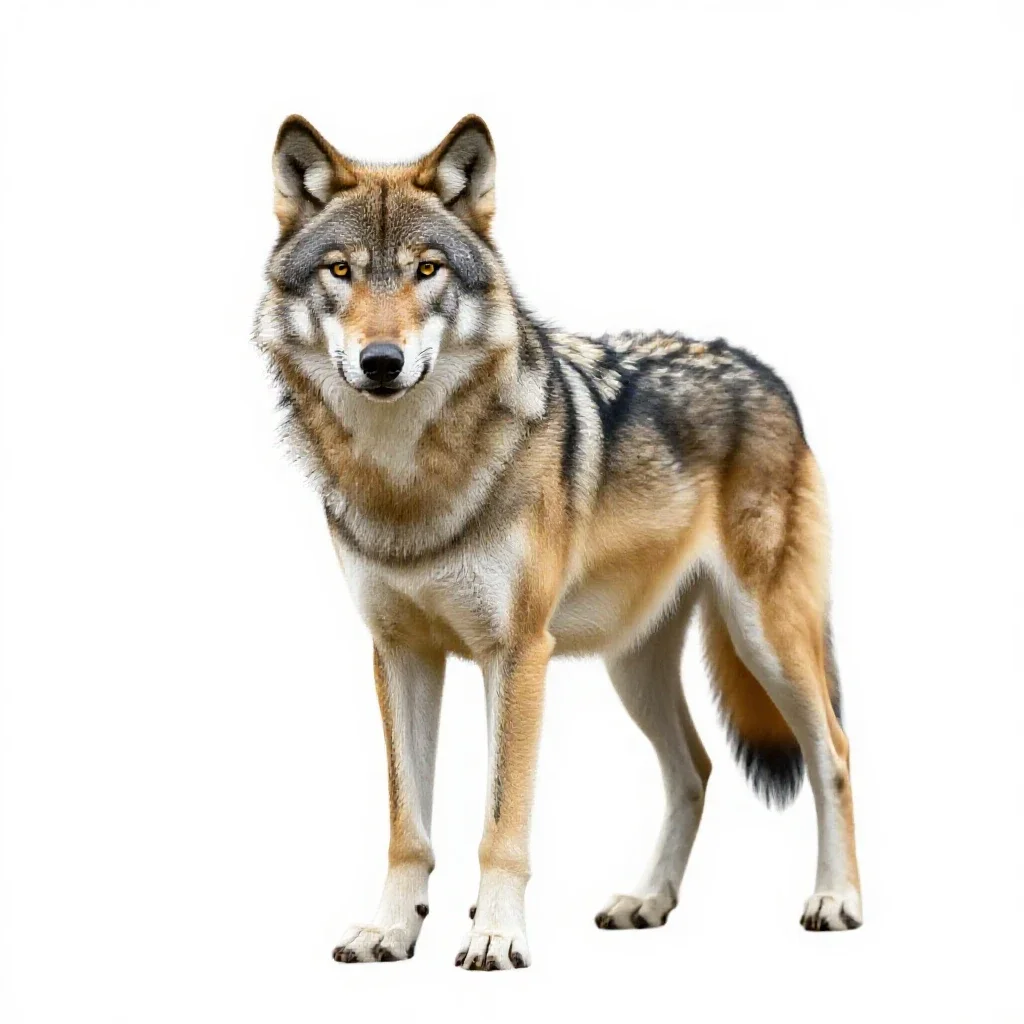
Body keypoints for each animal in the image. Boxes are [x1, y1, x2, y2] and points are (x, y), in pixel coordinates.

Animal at [254, 114, 863, 970]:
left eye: (428, 270)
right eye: (341, 271)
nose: (381, 362)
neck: (407, 480)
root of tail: (761, 370)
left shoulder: (516, 652)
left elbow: (501, 821)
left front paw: (495, 934)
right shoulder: (401, 652)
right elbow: (409, 825)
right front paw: (391, 929)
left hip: (765, 637)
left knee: (832, 752)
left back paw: (837, 900)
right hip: (631, 665)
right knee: (695, 768)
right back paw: (647, 901)